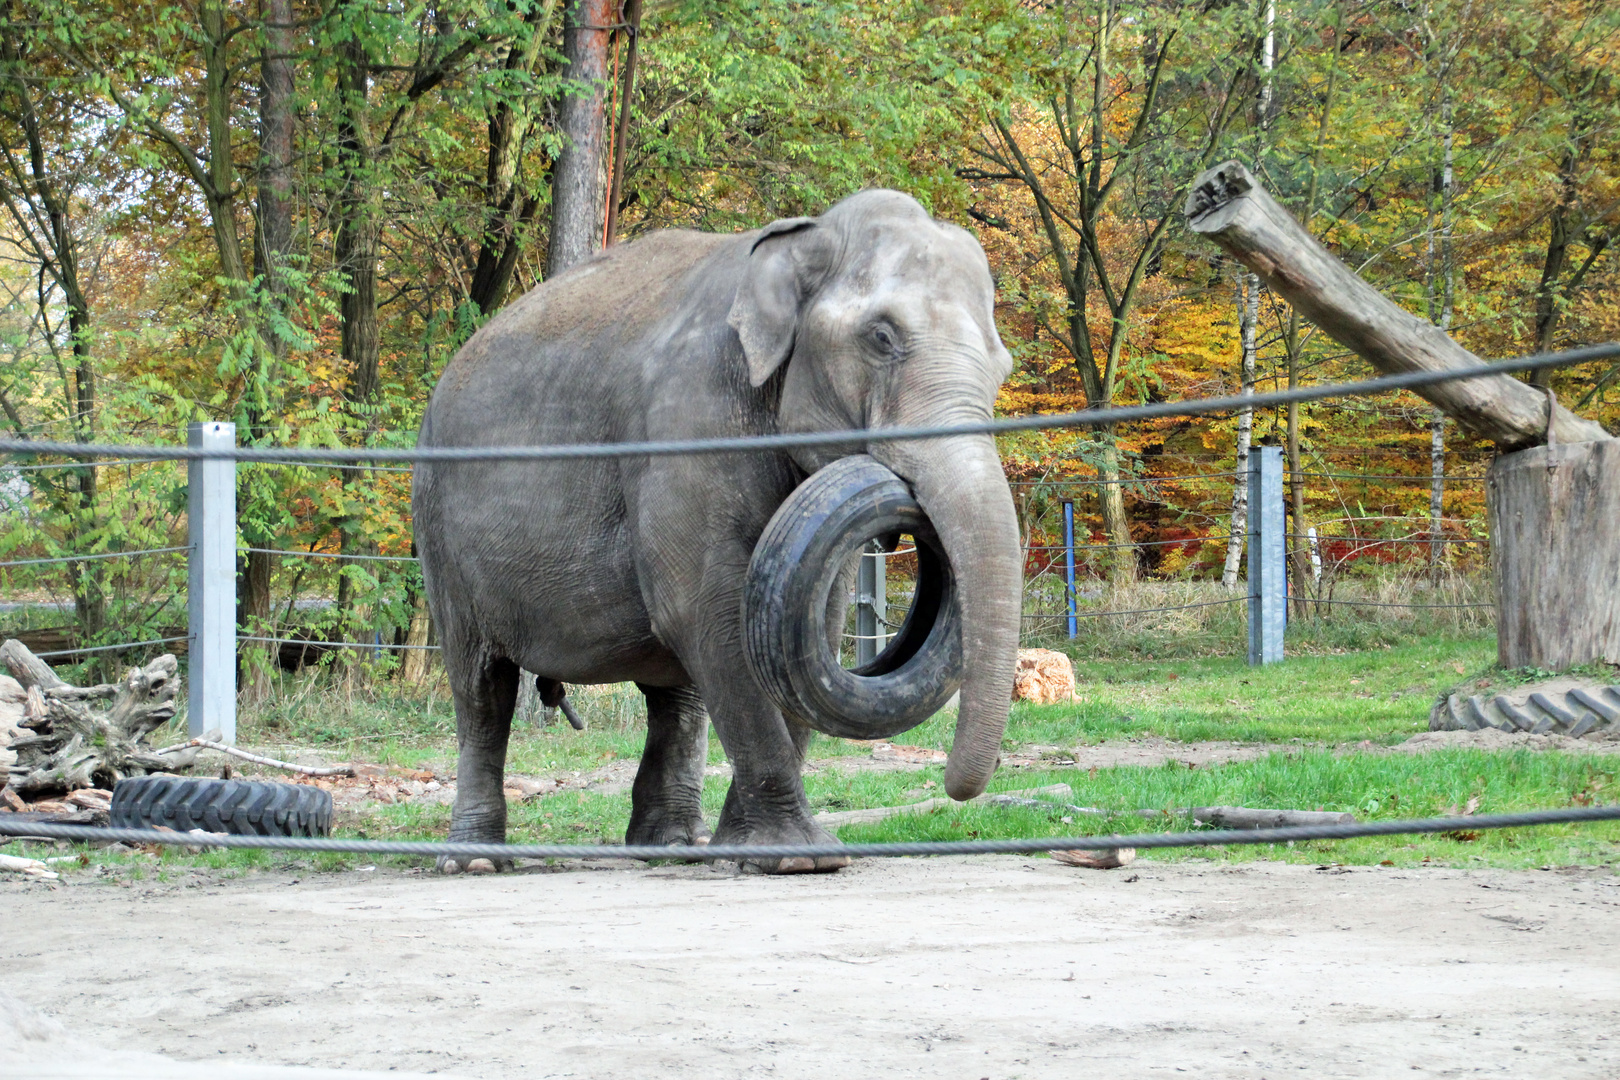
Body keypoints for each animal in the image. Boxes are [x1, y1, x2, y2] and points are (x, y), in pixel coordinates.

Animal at [417, 190, 1023, 874]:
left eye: (1003, 366)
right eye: (881, 337)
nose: (958, 789)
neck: (804, 238)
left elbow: (803, 625)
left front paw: (751, 850)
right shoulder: (687, 425)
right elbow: (712, 614)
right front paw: (799, 860)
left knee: (675, 696)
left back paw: (673, 849)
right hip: (439, 528)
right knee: (481, 688)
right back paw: (474, 861)